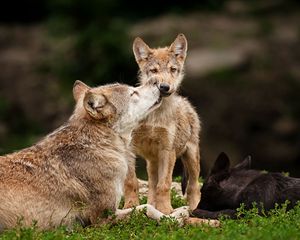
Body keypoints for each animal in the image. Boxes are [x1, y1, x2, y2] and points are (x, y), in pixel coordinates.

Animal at [0, 79, 164, 230]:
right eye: (133, 93)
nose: (157, 81)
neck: (98, 144)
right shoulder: (101, 219)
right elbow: (146, 208)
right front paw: (169, 218)